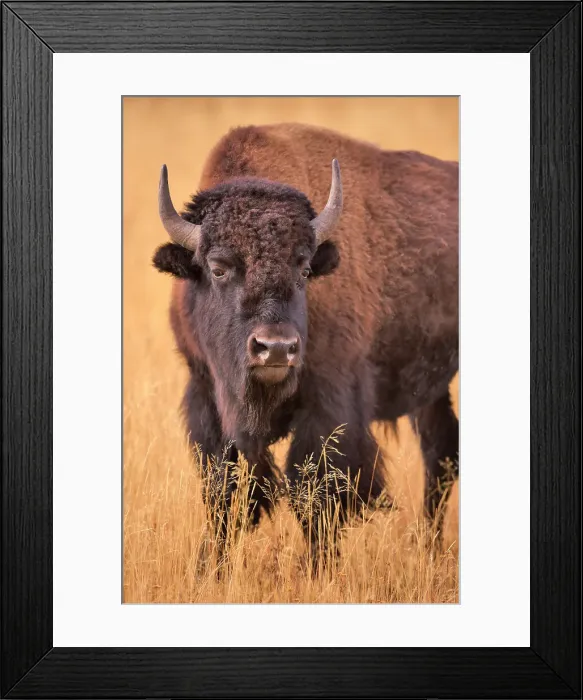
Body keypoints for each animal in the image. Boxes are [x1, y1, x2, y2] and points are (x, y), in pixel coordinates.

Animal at [153, 123, 458, 562]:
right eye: (218, 268)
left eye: (305, 267)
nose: (276, 348)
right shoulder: (207, 396)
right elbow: (223, 493)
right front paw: (209, 567)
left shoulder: (330, 406)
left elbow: (313, 492)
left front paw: (318, 568)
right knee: (441, 449)